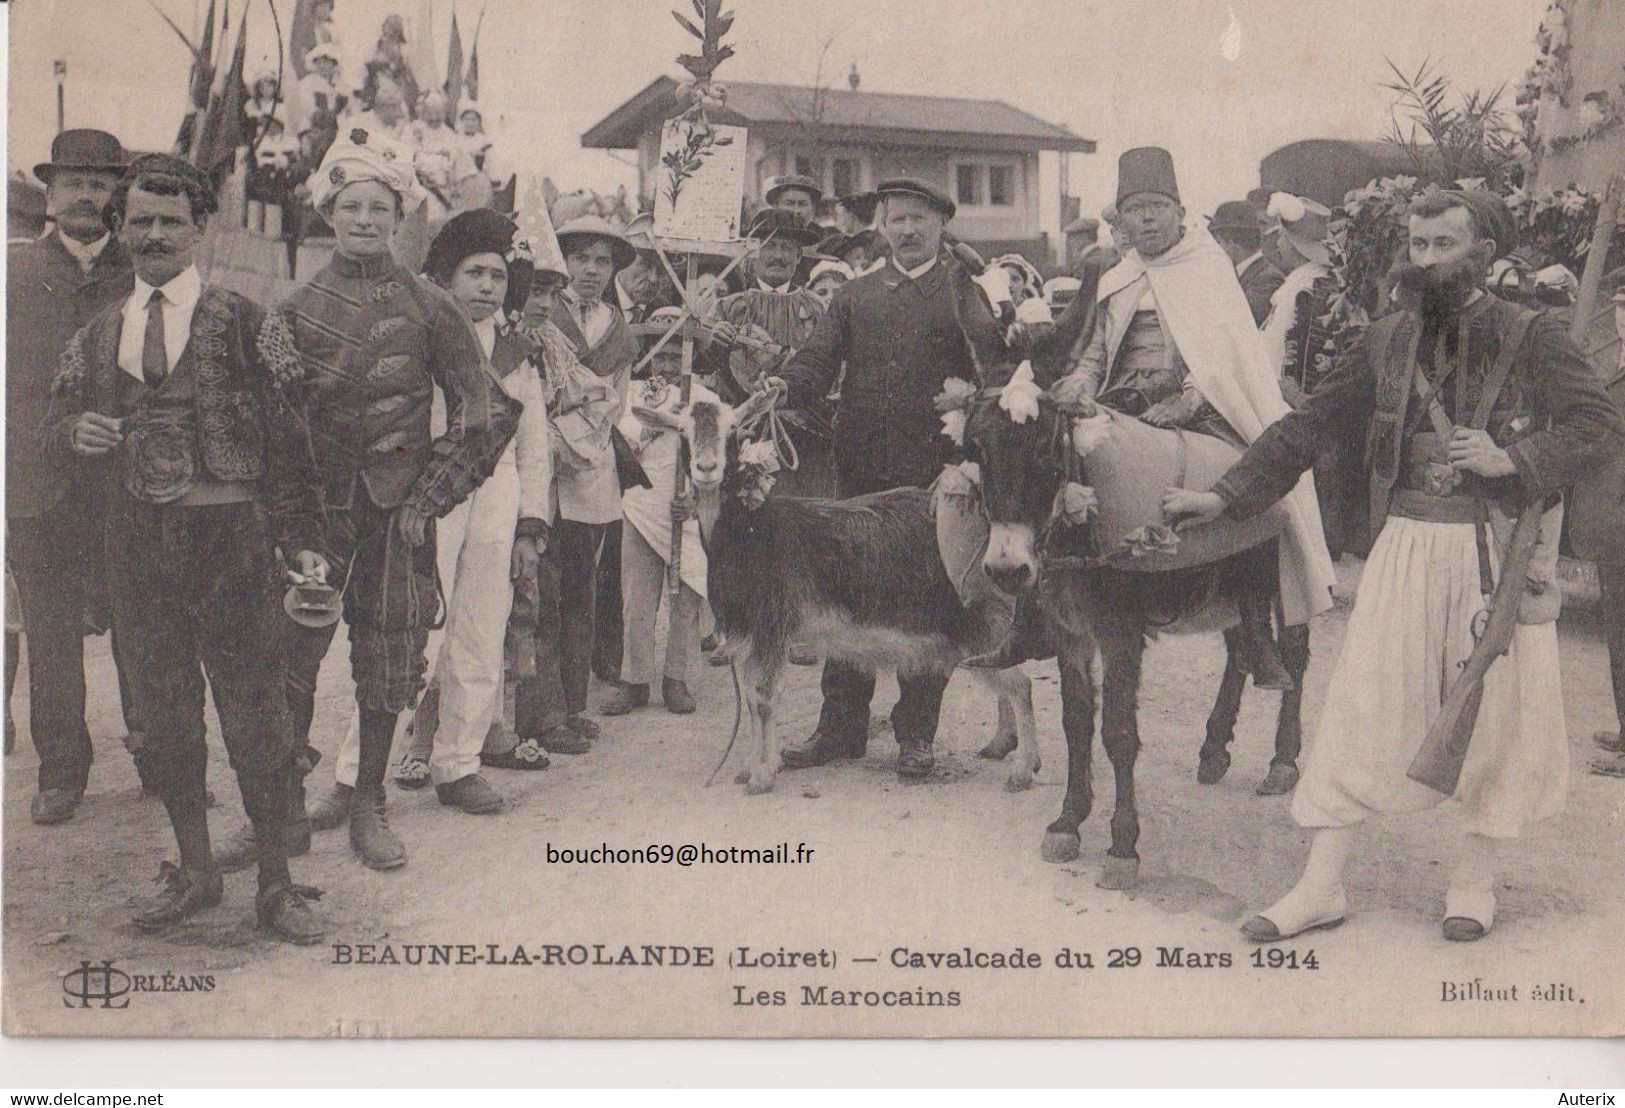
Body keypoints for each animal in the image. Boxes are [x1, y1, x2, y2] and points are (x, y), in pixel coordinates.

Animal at [627, 388, 1033, 792]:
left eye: (734, 430)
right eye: (682, 432)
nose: (707, 468)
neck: (752, 531)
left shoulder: (772, 626)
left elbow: (763, 700)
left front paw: (761, 776)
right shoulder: (749, 634)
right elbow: (752, 698)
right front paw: (750, 766)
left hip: (978, 615)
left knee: (1020, 683)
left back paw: (1024, 769)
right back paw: (1003, 743)